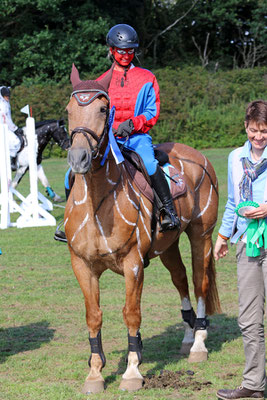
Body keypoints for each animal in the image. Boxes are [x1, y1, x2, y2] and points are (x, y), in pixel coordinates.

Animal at [63, 65, 221, 394]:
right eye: (69, 110)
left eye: (103, 109)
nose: (78, 158)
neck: (98, 202)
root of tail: (197, 156)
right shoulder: (82, 265)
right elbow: (93, 316)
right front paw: (95, 373)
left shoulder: (133, 265)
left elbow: (131, 314)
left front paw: (132, 371)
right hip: (168, 246)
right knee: (180, 280)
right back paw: (188, 336)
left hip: (201, 236)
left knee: (199, 282)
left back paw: (199, 343)